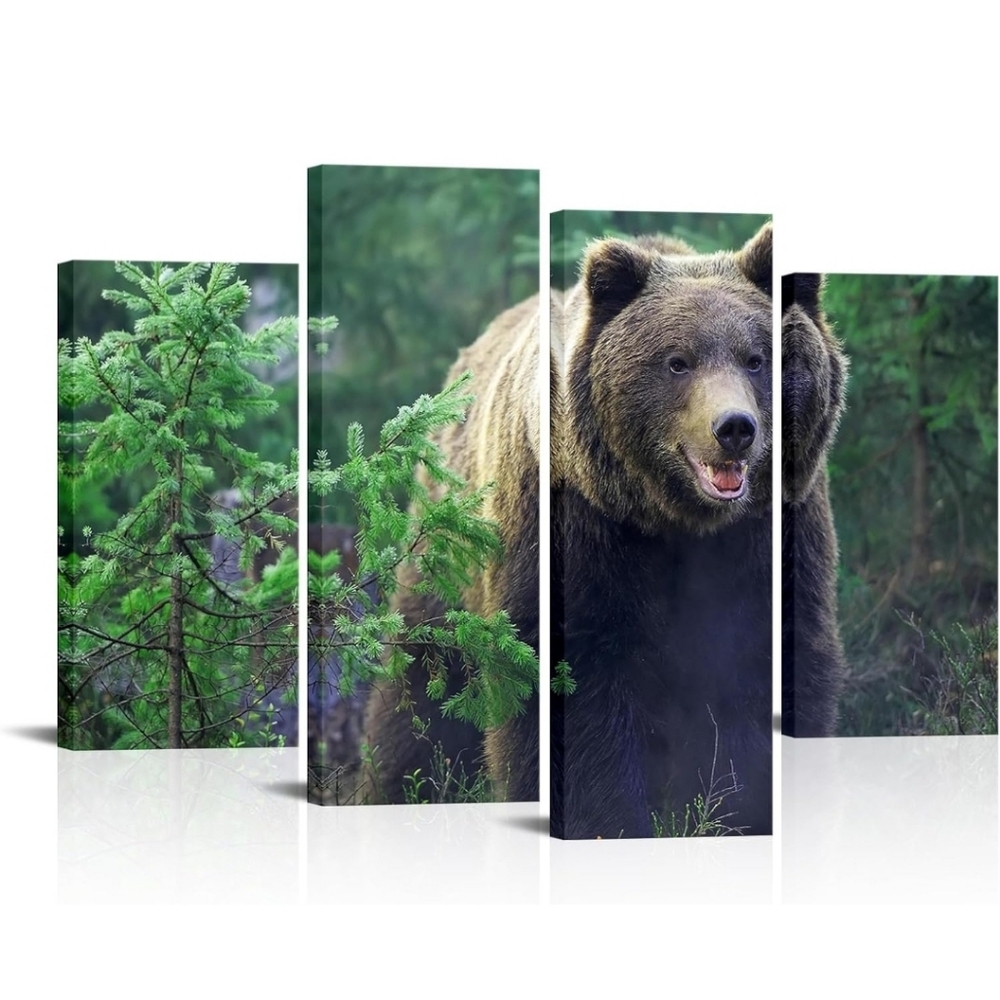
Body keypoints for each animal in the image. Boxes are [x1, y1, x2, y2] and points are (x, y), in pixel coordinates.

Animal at [550, 223, 774, 839]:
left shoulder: (764, 548)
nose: (735, 428)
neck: (683, 523)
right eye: (678, 362)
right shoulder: (591, 536)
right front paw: (613, 818)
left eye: (755, 359)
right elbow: (590, 695)